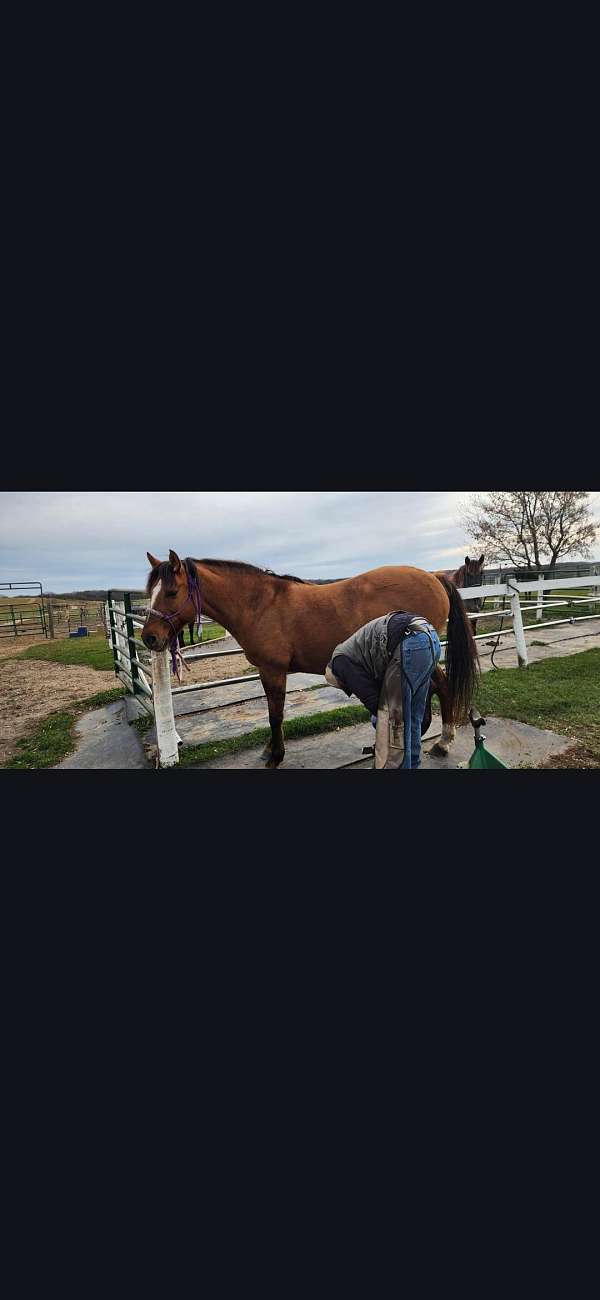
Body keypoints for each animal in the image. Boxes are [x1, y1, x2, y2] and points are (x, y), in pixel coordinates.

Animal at [141, 550, 479, 768]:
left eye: (171, 592)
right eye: (150, 590)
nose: (149, 638)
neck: (260, 604)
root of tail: (435, 578)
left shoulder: (273, 671)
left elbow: (275, 714)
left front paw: (275, 755)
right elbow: (273, 713)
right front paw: (271, 750)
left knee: (442, 687)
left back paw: (442, 742)